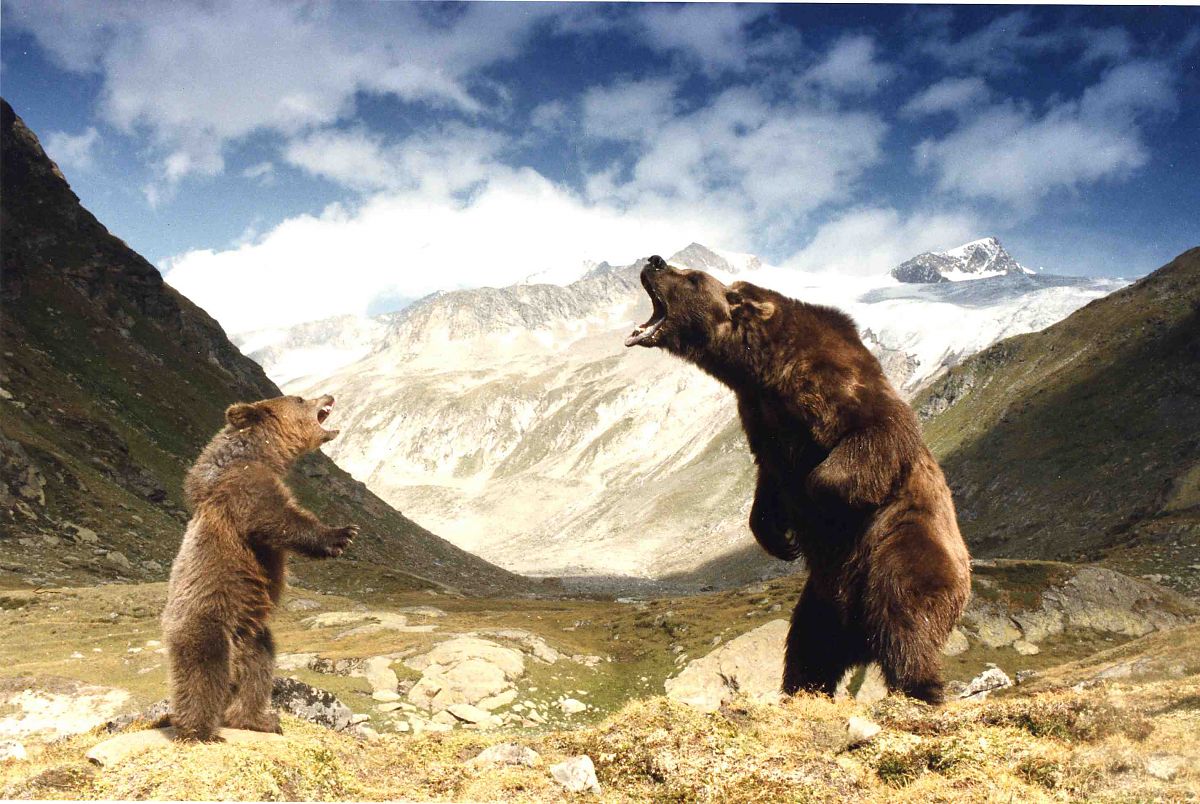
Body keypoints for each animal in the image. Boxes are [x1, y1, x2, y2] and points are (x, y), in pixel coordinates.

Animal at [161, 394, 357, 741]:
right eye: (300, 399)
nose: (329, 396)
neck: (262, 454)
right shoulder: (246, 486)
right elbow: (277, 519)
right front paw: (342, 535)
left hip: (253, 631)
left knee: (258, 668)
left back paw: (259, 719)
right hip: (207, 620)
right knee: (202, 671)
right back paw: (199, 730)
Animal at [626, 255, 970, 703]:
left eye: (694, 278)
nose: (653, 261)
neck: (761, 368)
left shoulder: (838, 385)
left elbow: (875, 433)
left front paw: (814, 506)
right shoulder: (763, 420)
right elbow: (768, 481)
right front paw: (777, 537)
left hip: (903, 549)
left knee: (906, 618)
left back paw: (921, 689)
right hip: (821, 601)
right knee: (811, 646)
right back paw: (801, 690)